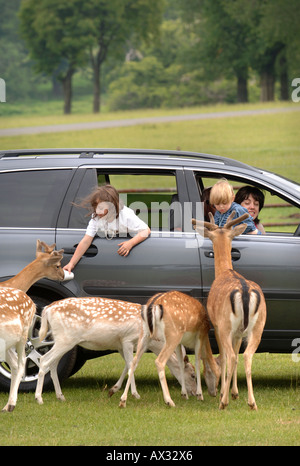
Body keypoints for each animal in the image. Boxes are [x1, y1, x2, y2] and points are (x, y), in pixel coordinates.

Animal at [34, 296, 197, 406]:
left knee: (53, 363)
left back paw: (60, 396)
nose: (195, 392)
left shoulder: (120, 345)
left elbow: (127, 365)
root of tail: (47, 309)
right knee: (44, 360)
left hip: (61, 339)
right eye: (193, 375)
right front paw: (135, 394)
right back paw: (39, 398)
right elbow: (132, 365)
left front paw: (113, 389)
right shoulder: (127, 339)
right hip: (66, 338)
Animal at [192, 213, 268, 410]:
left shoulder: (217, 325)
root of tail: (244, 290)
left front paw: (224, 393)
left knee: (232, 356)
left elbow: (225, 357)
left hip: (226, 324)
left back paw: (223, 402)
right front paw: (235, 392)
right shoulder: (239, 332)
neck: (224, 271)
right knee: (247, 355)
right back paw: (252, 402)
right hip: (258, 326)